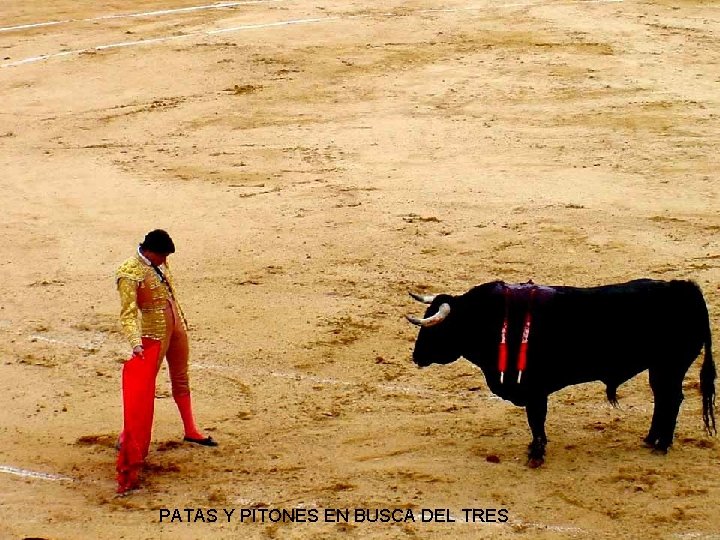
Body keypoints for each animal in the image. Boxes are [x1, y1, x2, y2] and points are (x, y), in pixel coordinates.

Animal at [408, 280, 716, 466]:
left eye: (435, 329)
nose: (416, 357)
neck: (490, 320)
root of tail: (685, 288)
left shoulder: (535, 389)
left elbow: (536, 420)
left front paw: (536, 454)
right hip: (660, 368)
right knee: (663, 400)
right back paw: (651, 439)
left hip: (670, 366)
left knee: (671, 400)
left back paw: (662, 445)